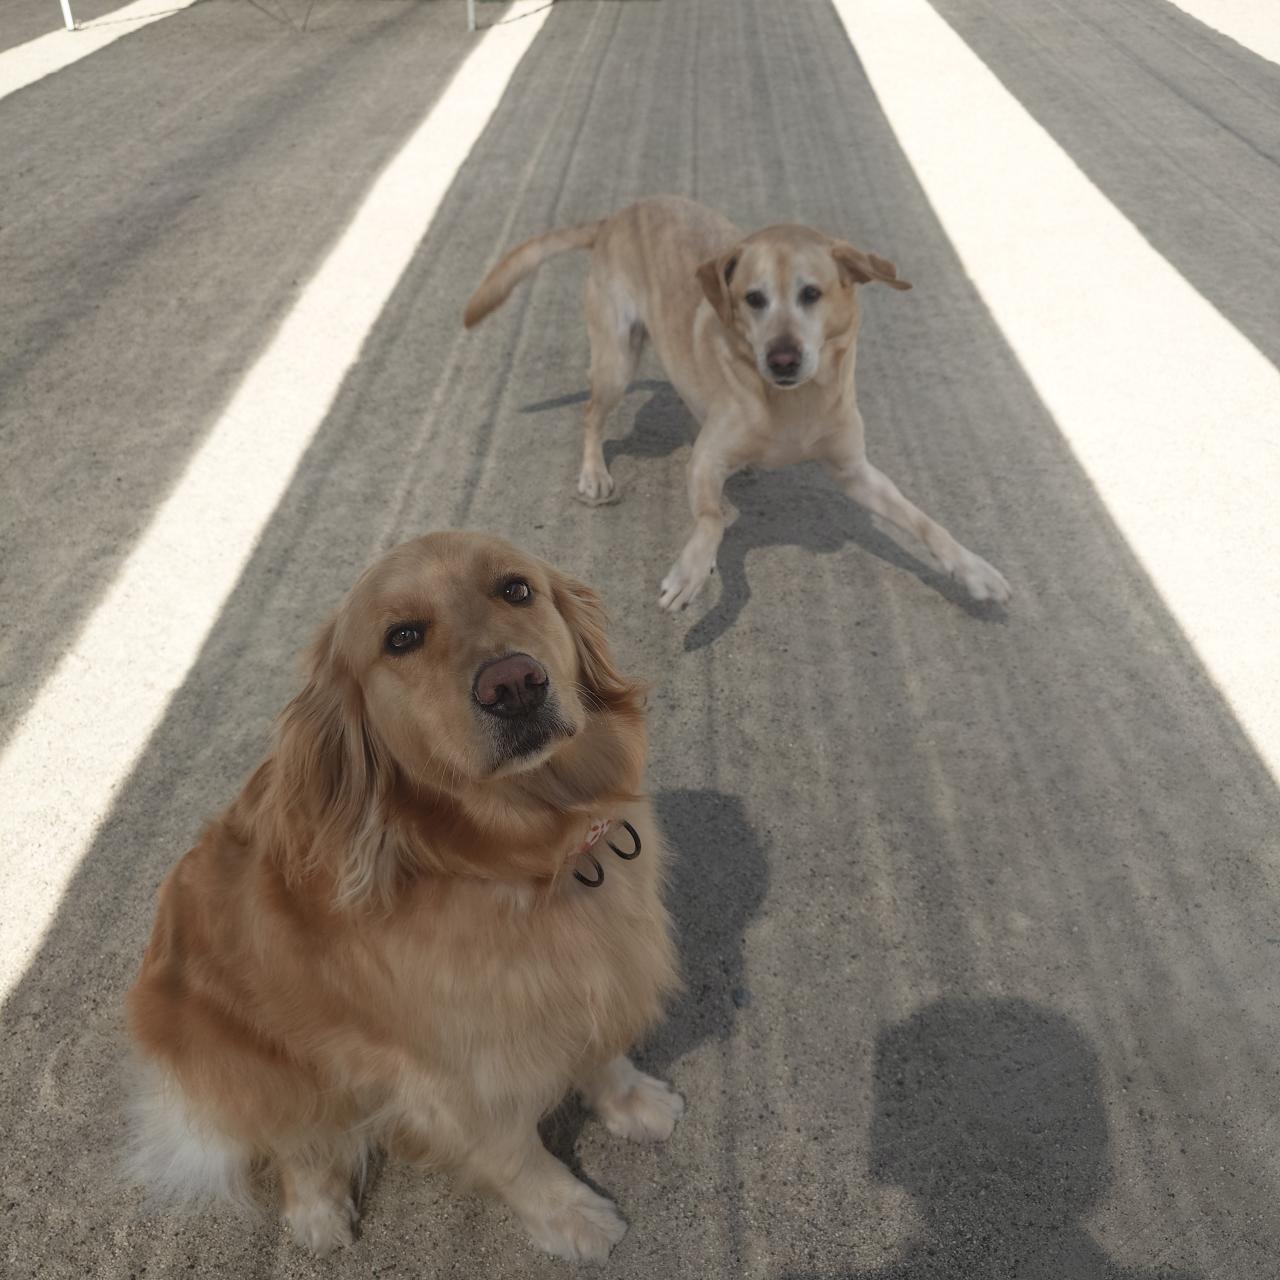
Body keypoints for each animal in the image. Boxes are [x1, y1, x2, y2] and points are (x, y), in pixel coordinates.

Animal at [126, 532, 681, 1264]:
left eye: (516, 589)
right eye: (403, 638)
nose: (514, 684)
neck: (529, 857)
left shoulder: (602, 972)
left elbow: (602, 1052)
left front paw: (631, 1099)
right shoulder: (455, 1077)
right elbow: (515, 1155)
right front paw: (569, 1214)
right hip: (257, 1059)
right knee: (295, 1140)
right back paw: (318, 1211)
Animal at [465, 195, 1011, 611]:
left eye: (811, 294)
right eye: (753, 298)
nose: (783, 359)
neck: (794, 405)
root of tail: (618, 215)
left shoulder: (856, 472)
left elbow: (925, 522)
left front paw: (974, 570)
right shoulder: (706, 463)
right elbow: (711, 521)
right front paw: (691, 571)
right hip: (617, 361)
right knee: (591, 414)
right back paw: (595, 472)